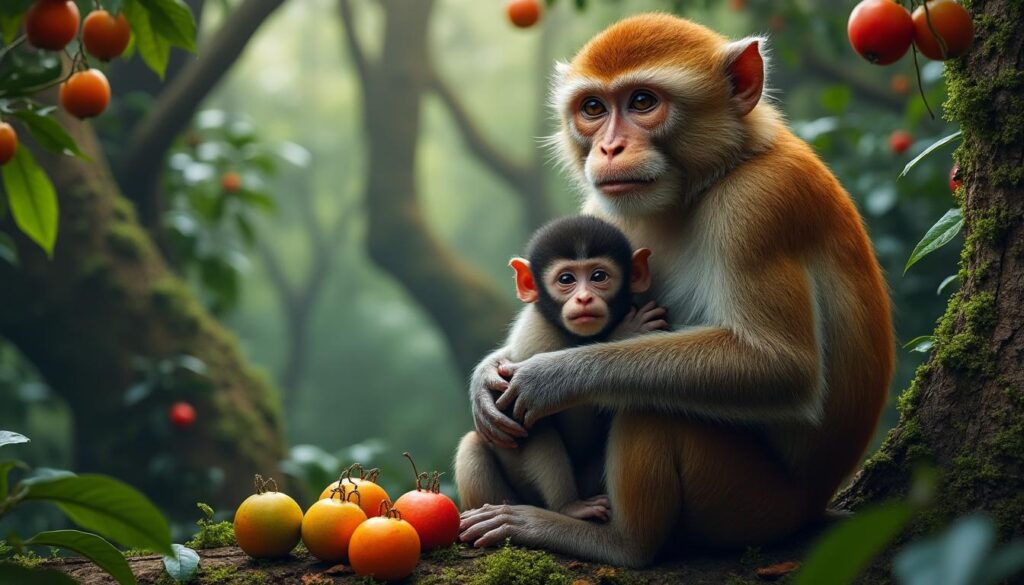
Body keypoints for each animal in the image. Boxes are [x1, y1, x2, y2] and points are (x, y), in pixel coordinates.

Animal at [487, 215, 667, 522]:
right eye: (566, 279)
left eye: (598, 277)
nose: (584, 299)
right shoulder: (534, 338)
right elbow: (528, 423)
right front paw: (568, 506)